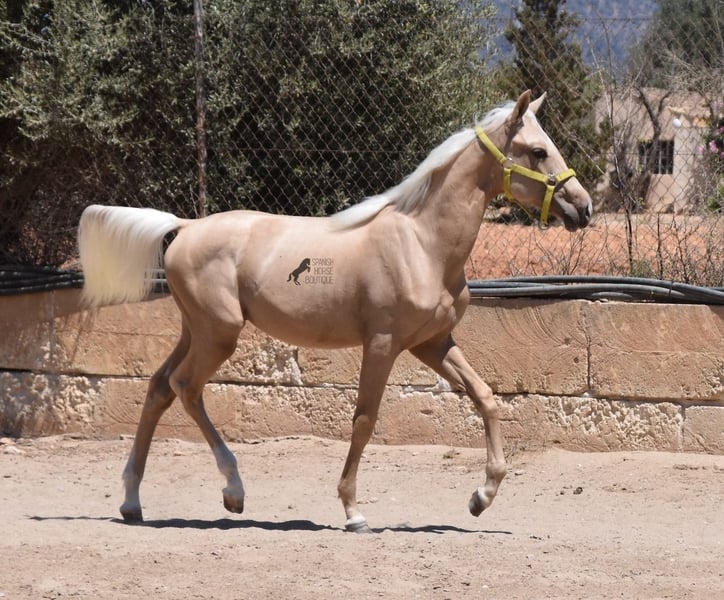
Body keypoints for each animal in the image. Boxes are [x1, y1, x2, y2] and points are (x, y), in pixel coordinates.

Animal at [78, 90, 592, 532]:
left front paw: (481, 498)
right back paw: (233, 491)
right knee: (186, 388)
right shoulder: (383, 344)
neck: (422, 244)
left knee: (158, 388)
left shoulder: (432, 343)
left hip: (197, 330)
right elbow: (364, 420)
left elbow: (485, 397)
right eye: (538, 151)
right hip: (218, 333)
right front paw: (353, 511)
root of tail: (183, 226)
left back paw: (132, 503)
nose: (583, 208)